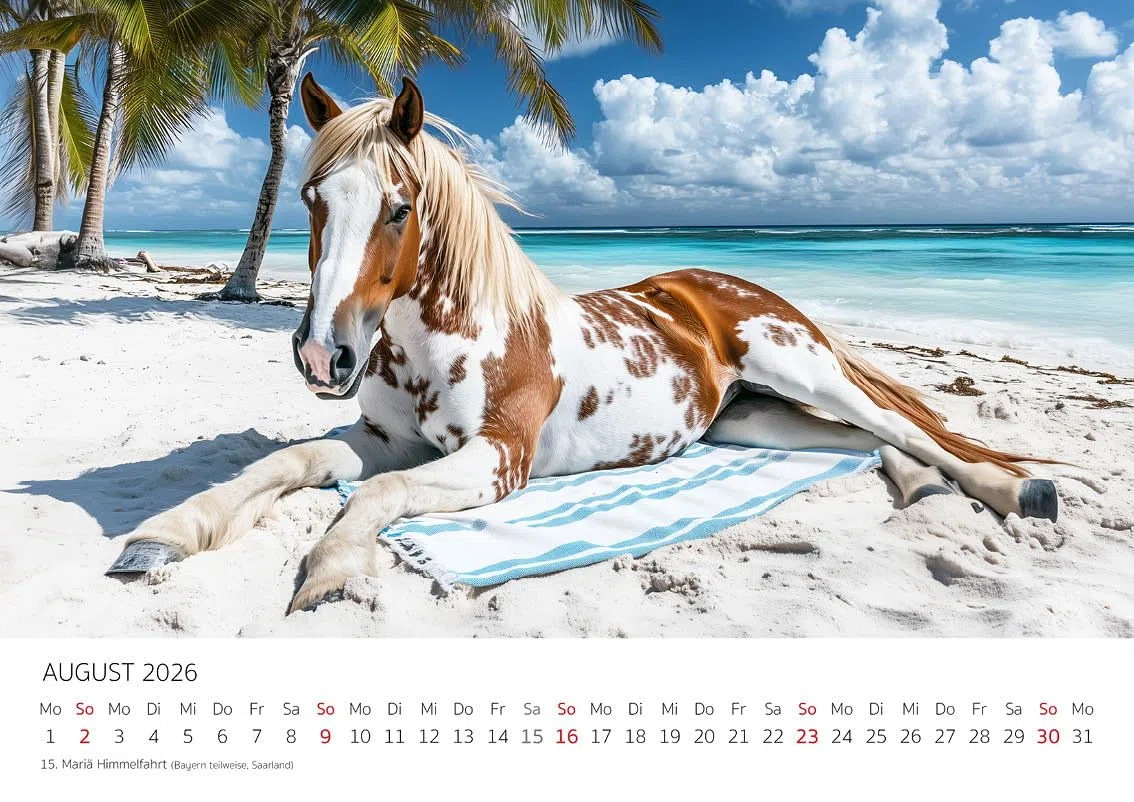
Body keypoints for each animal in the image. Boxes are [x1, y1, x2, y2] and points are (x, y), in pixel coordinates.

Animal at [108, 74, 1059, 614]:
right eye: (310, 199)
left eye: (399, 207)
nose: (322, 355)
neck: (446, 338)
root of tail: (731, 281)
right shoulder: (379, 440)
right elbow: (285, 465)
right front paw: (165, 534)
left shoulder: (499, 461)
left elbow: (380, 498)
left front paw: (334, 568)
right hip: (754, 419)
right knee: (866, 443)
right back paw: (926, 493)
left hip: (800, 367)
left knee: (911, 430)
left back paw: (1019, 492)